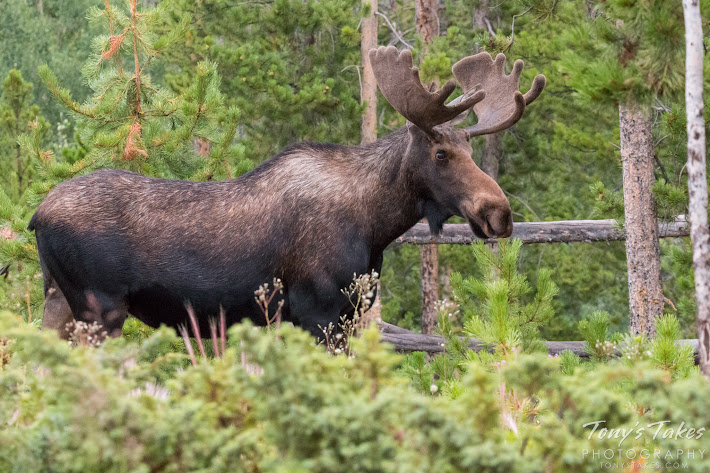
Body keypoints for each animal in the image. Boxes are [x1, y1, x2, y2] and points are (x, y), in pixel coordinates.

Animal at [29, 46, 544, 338]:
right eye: (440, 153)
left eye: (471, 148)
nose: (499, 213)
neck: (375, 225)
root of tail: (36, 217)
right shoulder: (318, 312)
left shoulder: (346, 314)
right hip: (100, 307)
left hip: (61, 300)